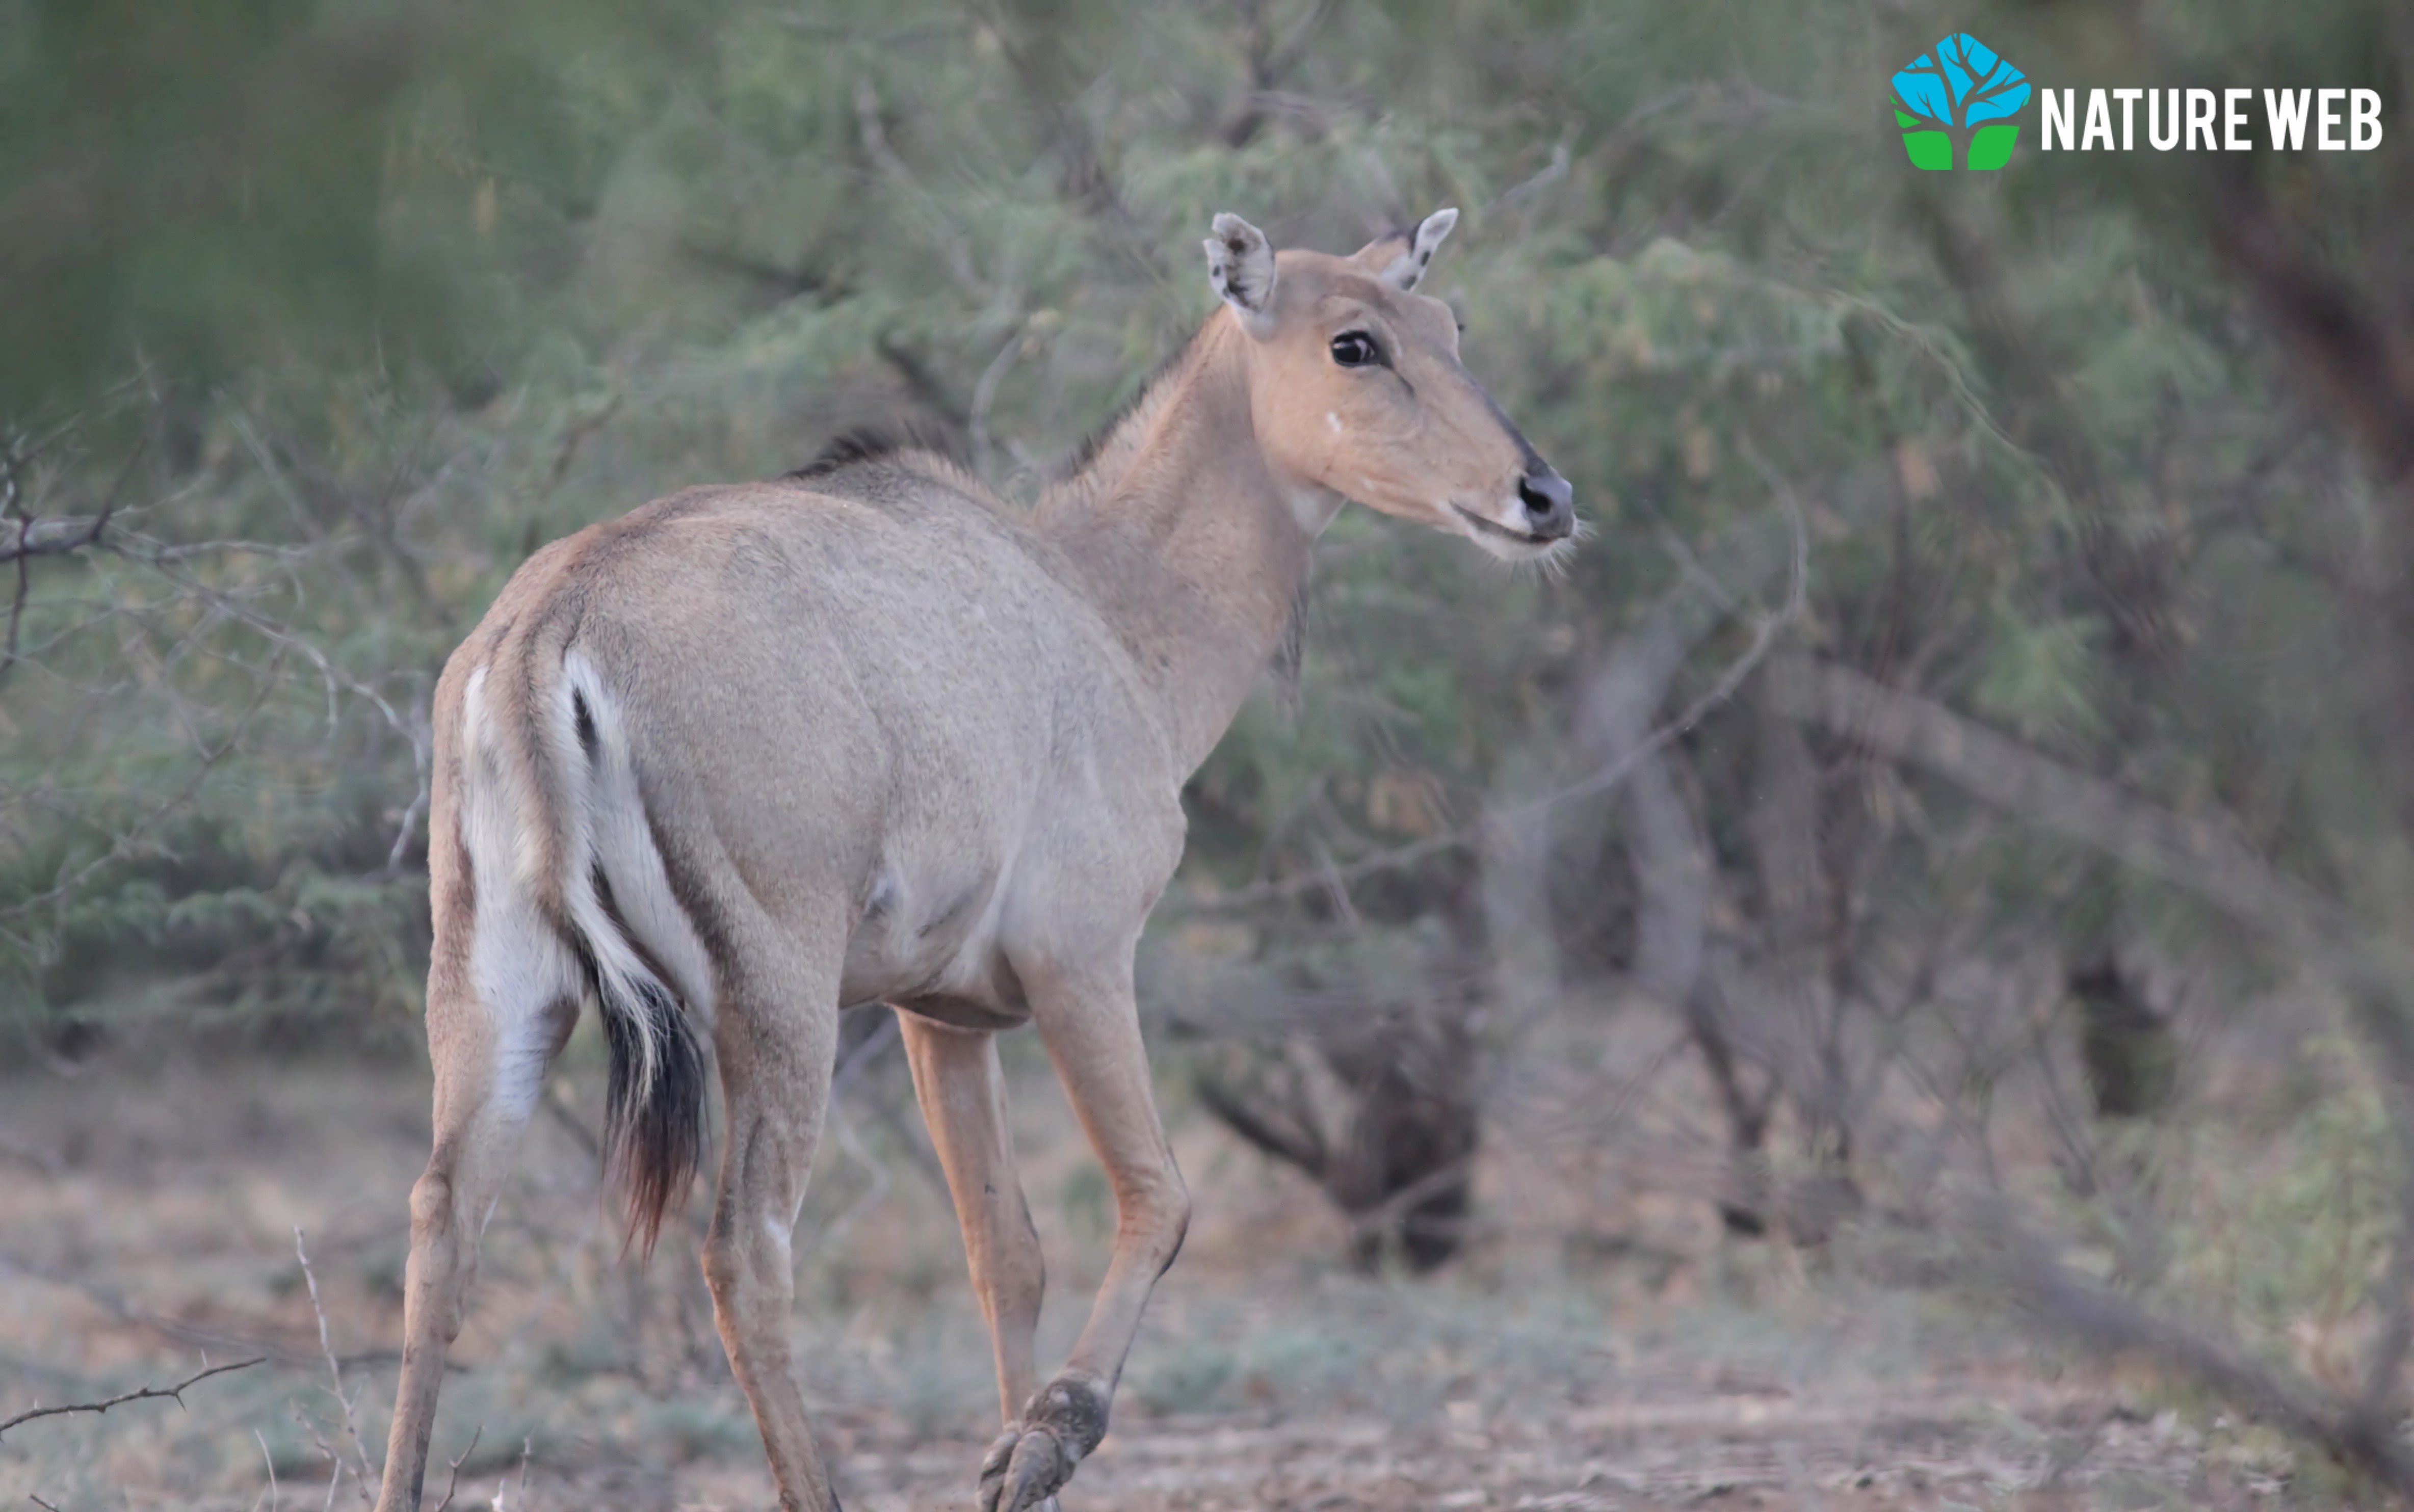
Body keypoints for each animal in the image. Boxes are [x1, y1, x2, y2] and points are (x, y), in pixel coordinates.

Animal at [376, 203, 1573, 1507]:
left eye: (1448, 324)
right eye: (1354, 341)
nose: (1542, 493)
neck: (1108, 603)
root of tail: (550, 629)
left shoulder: (940, 1013)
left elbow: (1005, 1249)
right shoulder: (1081, 958)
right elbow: (1159, 1196)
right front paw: (1045, 1436)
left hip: (498, 993)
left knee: (442, 1221)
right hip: (777, 1000)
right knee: (746, 1249)